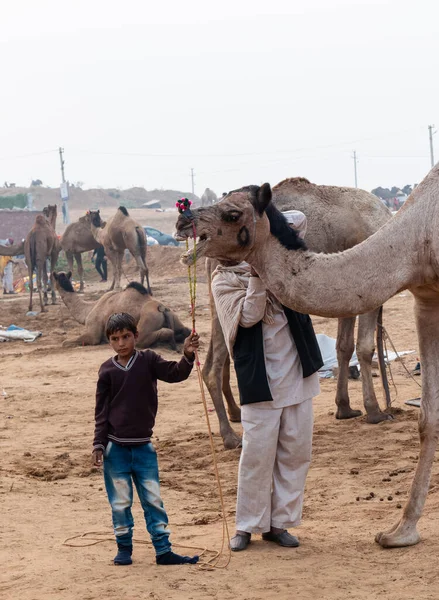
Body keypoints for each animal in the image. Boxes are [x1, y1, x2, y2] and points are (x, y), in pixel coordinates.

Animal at [53, 270, 191, 350]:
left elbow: (65, 342)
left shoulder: (94, 333)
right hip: (174, 317)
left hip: (149, 319)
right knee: (186, 331)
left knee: (144, 338)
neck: (88, 310)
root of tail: (162, 308)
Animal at [199, 180, 392, 448]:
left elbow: (344, 347)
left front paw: (344, 408)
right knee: (213, 365)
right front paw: (374, 411)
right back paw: (230, 436)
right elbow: (364, 348)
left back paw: (236, 415)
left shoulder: (347, 293)